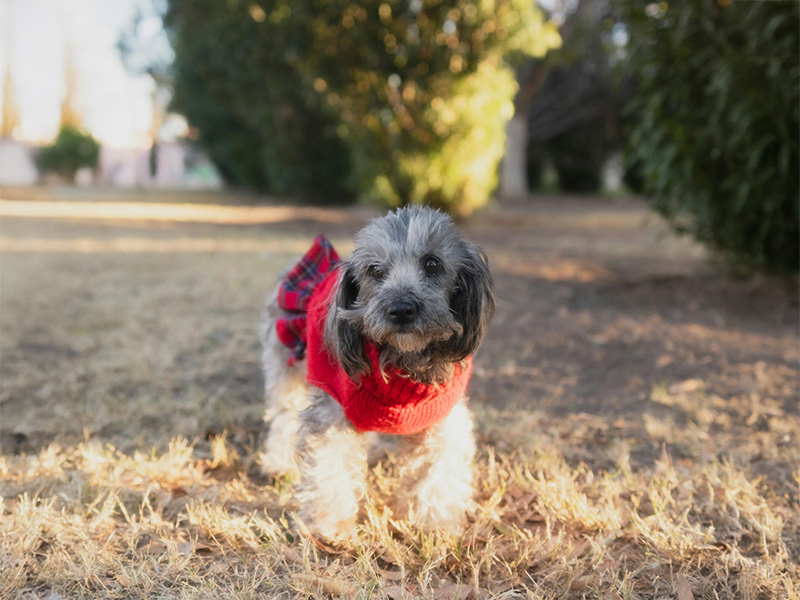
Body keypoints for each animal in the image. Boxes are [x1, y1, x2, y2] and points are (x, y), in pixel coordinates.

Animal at [260, 206, 494, 544]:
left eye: (433, 263)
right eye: (374, 270)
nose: (401, 309)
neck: (400, 363)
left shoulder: (444, 420)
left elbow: (439, 476)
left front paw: (436, 525)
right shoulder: (332, 411)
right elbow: (328, 469)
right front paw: (329, 526)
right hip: (285, 364)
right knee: (284, 417)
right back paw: (280, 464)